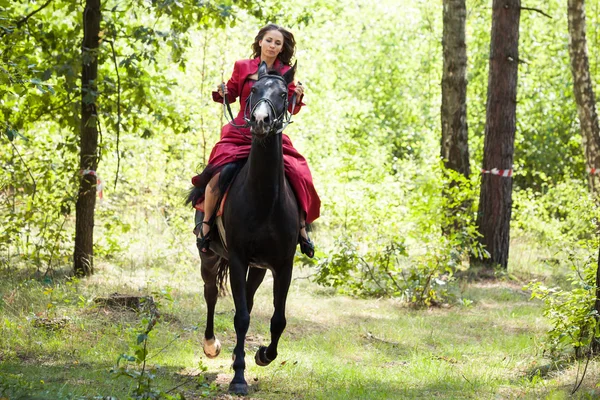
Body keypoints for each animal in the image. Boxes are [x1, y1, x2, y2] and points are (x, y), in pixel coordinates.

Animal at [188, 61, 300, 394]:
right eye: (253, 90)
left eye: (284, 94)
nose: (261, 121)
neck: (264, 199)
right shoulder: (237, 259)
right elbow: (240, 317)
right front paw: (238, 377)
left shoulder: (282, 264)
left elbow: (277, 319)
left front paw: (263, 355)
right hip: (210, 256)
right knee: (211, 293)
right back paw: (211, 345)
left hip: (259, 267)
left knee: (247, 299)